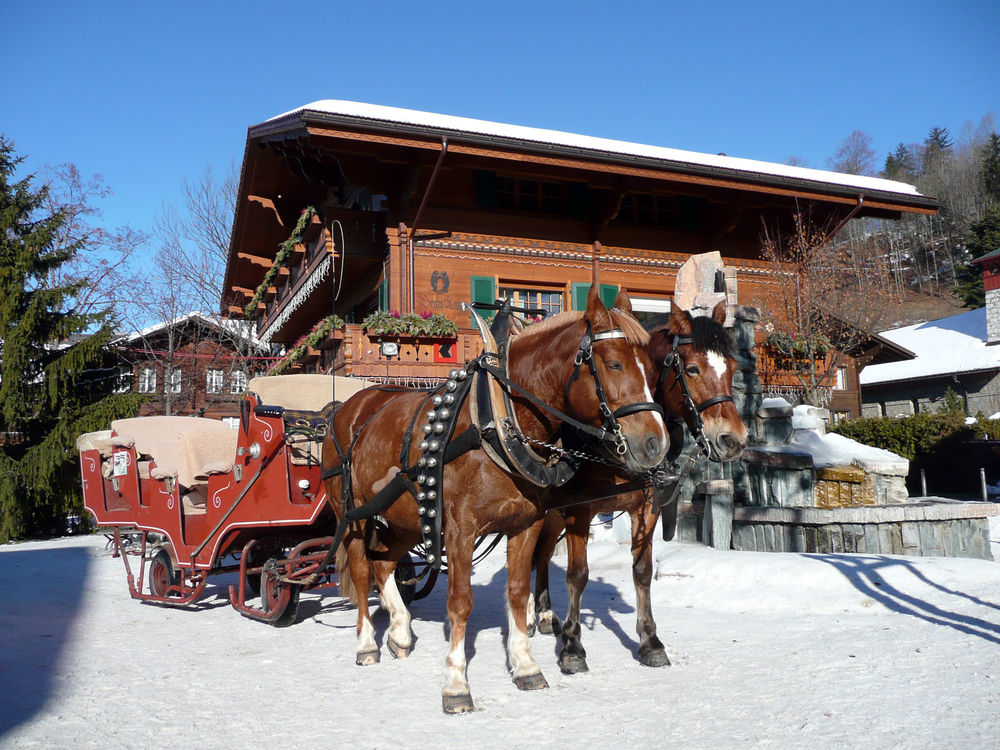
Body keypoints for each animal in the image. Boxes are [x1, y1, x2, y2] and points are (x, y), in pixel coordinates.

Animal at [324, 288, 664, 716]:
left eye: (651, 369)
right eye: (614, 364)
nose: (656, 444)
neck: (499, 420)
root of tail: (348, 408)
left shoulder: (527, 523)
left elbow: (518, 592)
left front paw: (525, 665)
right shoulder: (459, 529)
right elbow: (460, 601)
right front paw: (456, 684)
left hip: (405, 517)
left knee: (383, 564)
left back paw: (400, 630)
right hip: (352, 517)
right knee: (361, 569)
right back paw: (367, 642)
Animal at [536, 300, 748, 676]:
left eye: (732, 368)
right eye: (691, 369)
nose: (733, 440)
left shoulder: (647, 507)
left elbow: (642, 572)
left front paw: (650, 641)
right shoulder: (578, 509)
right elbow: (578, 574)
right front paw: (573, 646)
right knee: (538, 552)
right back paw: (542, 614)